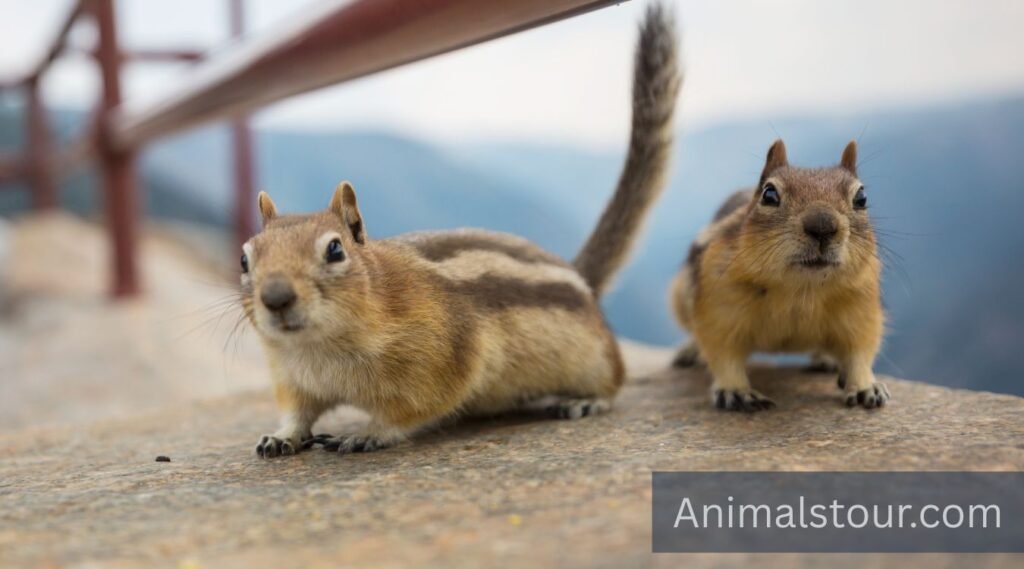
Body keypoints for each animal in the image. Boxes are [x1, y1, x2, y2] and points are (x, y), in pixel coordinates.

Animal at [243, 4, 681, 458]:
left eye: (334, 250)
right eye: (245, 258)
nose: (275, 298)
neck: (321, 345)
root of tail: (579, 277)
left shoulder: (441, 362)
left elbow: (412, 410)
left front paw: (365, 432)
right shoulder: (293, 379)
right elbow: (299, 413)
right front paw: (281, 436)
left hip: (593, 357)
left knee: (615, 379)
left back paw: (585, 399)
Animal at [668, 139, 889, 411]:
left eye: (861, 197)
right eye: (769, 194)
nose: (822, 225)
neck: (801, 288)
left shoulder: (860, 309)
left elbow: (861, 351)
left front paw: (865, 386)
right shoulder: (719, 308)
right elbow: (722, 352)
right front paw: (736, 390)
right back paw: (689, 351)